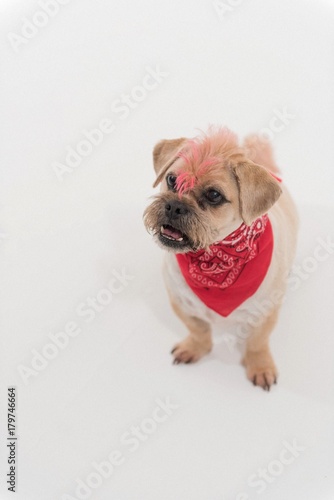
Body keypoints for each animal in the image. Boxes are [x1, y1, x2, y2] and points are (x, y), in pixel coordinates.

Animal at [144, 128, 298, 390]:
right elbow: (199, 331)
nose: (175, 206)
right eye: (172, 179)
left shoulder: (264, 314)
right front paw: (195, 348)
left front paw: (260, 366)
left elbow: (257, 343)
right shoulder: (182, 304)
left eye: (214, 195)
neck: (214, 258)